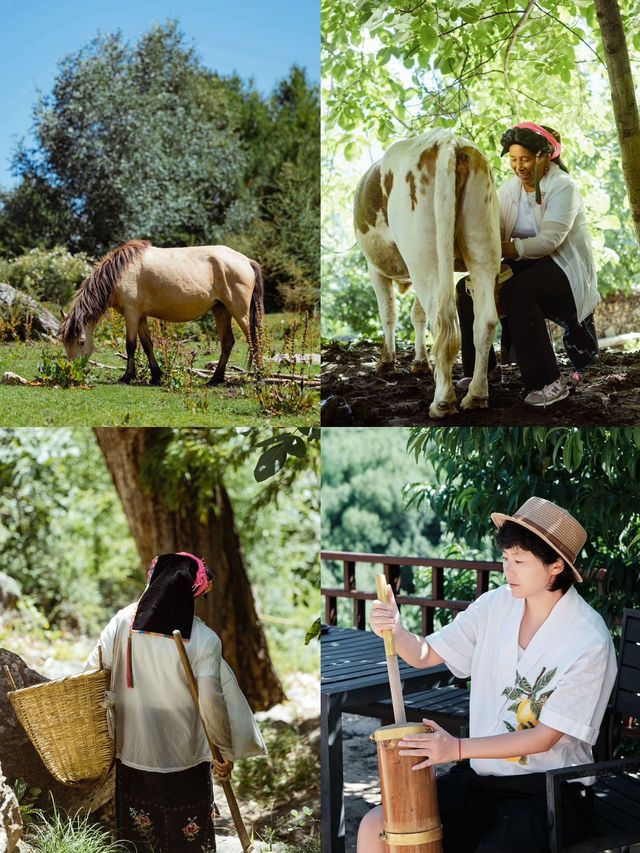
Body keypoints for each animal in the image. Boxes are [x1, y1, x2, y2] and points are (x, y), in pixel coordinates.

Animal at [57, 240, 262, 386]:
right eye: (64, 342)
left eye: (81, 342)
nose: (72, 373)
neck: (121, 271)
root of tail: (246, 260)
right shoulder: (140, 316)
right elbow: (147, 344)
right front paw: (156, 376)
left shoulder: (131, 313)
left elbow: (130, 345)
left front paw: (127, 376)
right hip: (221, 311)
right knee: (228, 342)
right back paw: (215, 380)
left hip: (239, 312)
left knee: (254, 341)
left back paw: (259, 379)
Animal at [356, 126, 500, 416]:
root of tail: (447, 140)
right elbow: (417, 314)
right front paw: (420, 362)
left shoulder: (374, 267)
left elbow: (388, 313)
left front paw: (386, 361)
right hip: (482, 240)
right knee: (485, 321)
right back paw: (476, 396)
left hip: (423, 254)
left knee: (441, 318)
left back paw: (443, 401)